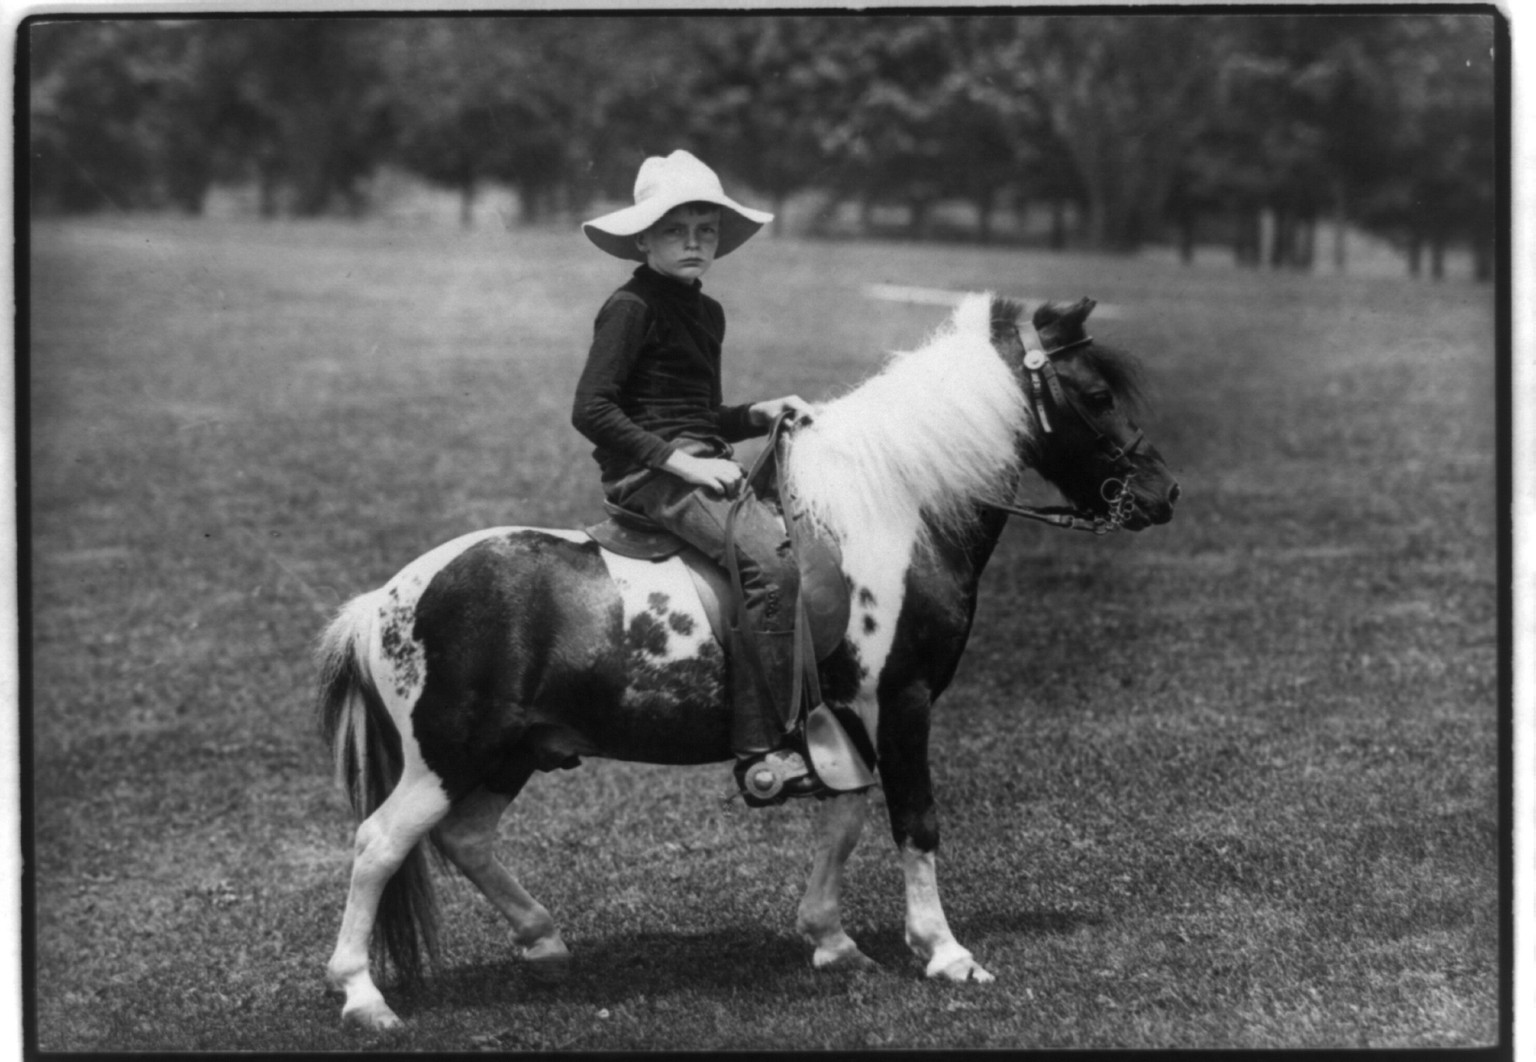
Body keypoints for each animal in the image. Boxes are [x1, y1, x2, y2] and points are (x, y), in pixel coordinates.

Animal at [315, 292, 1179, 1031]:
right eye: (1095, 394)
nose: (1162, 494)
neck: (893, 511)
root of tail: (385, 600)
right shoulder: (900, 701)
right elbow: (915, 820)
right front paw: (945, 952)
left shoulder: (842, 720)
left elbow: (846, 817)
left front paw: (831, 939)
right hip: (448, 757)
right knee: (380, 844)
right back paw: (362, 996)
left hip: (512, 753)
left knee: (465, 840)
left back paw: (545, 941)